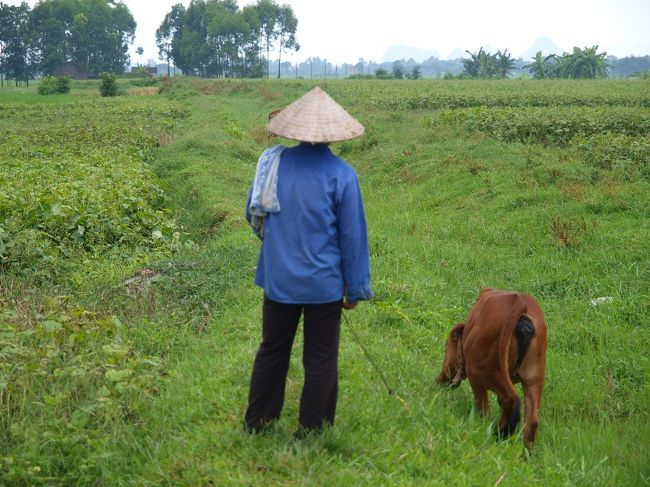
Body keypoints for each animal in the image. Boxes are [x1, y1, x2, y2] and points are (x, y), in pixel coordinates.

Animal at [436, 290, 548, 446]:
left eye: (446, 345)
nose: (439, 379)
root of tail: (520, 302)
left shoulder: (477, 378)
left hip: (482, 372)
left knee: (509, 401)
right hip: (533, 379)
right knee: (531, 422)